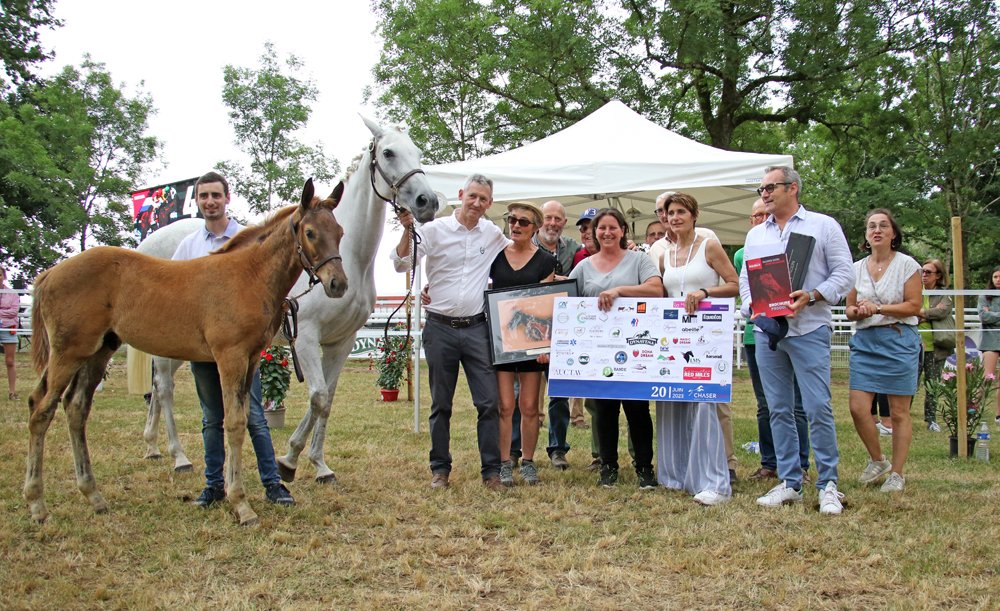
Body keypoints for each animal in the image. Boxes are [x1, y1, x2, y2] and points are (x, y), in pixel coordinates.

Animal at [25, 179, 348, 526]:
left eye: (340, 231)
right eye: (310, 232)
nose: (338, 284)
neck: (249, 275)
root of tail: (49, 275)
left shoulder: (249, 360)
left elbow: (246, 419)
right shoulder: (230, 357)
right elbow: (233, 423)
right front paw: (240, 504)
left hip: (98, 351)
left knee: (75, 408)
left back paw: (93, 496)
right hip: (68, 353)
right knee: (42, 409)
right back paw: (37, 504)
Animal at [132, 117, 439, 484]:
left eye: (418, 151)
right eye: (388, 152)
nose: (427, 201)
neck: (350, 257)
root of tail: (149, 245)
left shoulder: (342, 341)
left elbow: (327, 399)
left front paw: (319, 464)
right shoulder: (304, 337)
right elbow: (317, 397)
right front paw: (289, 460)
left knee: (157, 388)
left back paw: (152, 446)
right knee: (164, 387)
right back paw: (178, 456)